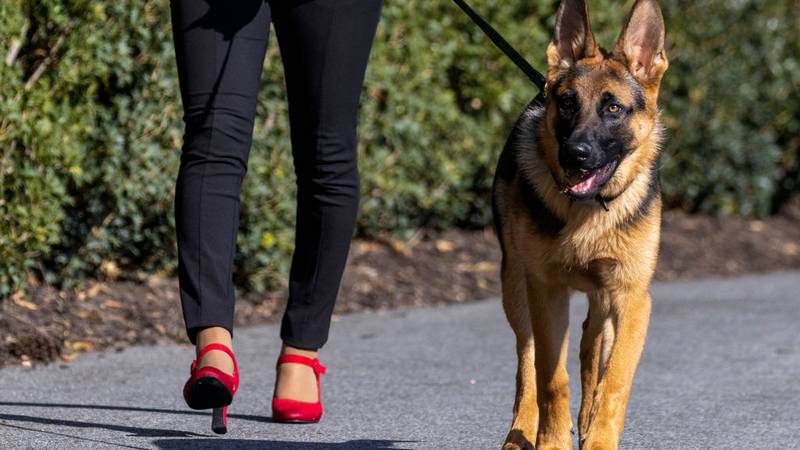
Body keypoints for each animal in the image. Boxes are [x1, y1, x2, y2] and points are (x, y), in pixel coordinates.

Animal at [494, 0, 668, 448]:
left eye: (613, 108)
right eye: (568, 103)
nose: (576, 154)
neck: (588, 214)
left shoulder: (632, 298)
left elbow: (615, 379)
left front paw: (599, 437)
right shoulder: (546, 291)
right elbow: (550, 378)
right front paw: (552, 440)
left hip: (604, 298)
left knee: (592, 347)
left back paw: (587, 419)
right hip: (516, 287)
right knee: (528, 361)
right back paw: (521, 429)